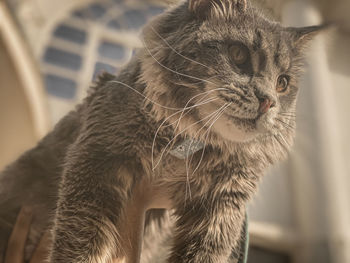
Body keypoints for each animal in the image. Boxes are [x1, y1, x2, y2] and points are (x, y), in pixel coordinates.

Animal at [0, 0, 326, 263]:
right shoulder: (98, 163)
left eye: (282, 83)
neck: (192, 141)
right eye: (238, 54)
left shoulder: (219, 208)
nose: (268, 101)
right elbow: (80, 246)